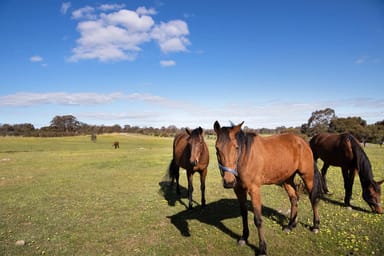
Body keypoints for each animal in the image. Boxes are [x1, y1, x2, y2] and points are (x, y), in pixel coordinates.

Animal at [213, 121, 324, 255]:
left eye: (236, 147)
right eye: (217, 148)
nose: (229, 182)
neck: (245, 157)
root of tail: (303, 142)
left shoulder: (254, 189)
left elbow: (258, 219)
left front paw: (262, 248)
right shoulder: (238, 190)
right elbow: (244, 214)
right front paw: (244, 238)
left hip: (307, 176)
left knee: (313, 199)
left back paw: (315, 226)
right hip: (287, 178)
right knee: (294, 198)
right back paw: (290, 225)